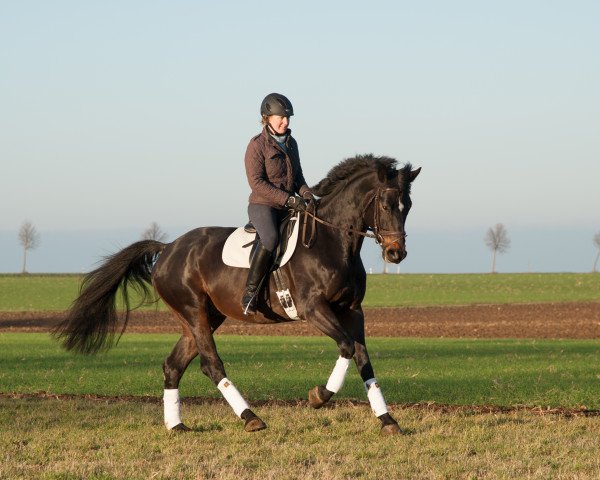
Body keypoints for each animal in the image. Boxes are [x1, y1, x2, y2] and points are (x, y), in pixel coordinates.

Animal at [54, 154, 422, 436]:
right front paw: (319, 396)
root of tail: (168, 248)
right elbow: (346, 346)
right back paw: (251, 418)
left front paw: (387, 420)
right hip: (194, 311)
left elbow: (362, 357)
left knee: (173, 365)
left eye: (408, 207)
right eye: (386, 204)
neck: (332, 243)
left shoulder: (353, 310)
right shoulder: (313, 308)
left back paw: (177, 426)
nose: (396, 254)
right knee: (210, 364)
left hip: (204, 317)